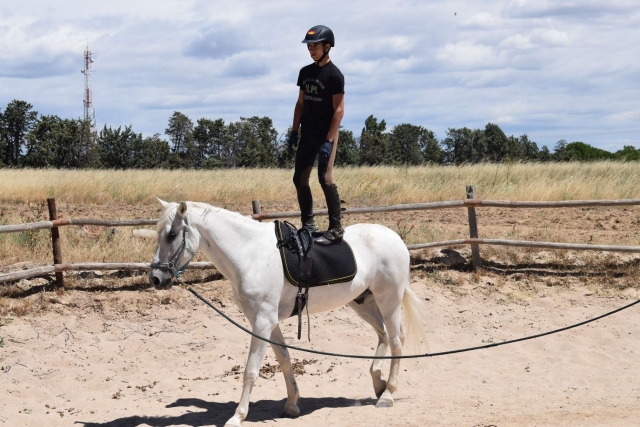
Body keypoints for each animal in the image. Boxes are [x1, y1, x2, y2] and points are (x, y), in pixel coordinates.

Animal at [149, 199, 427, 427]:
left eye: (172, 234)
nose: (156, 278)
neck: (250, 254)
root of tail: (395, 237)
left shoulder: (261, 323)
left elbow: (251, 371)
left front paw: (237, 416)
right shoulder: (268, 322)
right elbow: (284, 358)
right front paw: (292, 405)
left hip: (389, 300)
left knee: (396, 340)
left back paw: (388, 394)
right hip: (362, 302)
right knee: (382, 335)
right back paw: (378, 382)